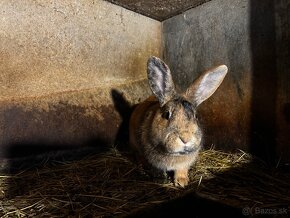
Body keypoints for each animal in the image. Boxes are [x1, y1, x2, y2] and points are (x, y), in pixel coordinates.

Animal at [129, 56, 227, 187]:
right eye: (167, 114)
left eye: (196, 116)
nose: (185, 138)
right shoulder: (153, 162)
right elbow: (157, 170)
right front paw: (160, 180)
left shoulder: (184, 164)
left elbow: (181, 170)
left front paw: (182, 182)